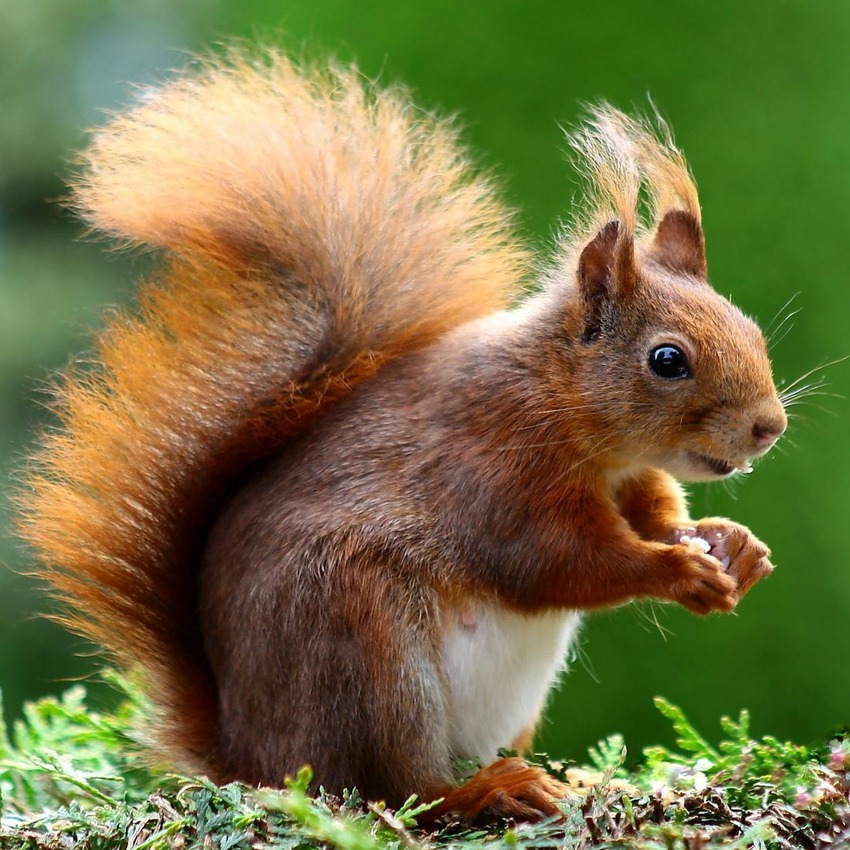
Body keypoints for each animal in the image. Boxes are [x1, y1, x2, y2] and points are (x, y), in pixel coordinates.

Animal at [17, 49, 787, 821]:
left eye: (750, 330)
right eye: (668, 360)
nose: (769, 427)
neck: (569, 411)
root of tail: (247, 755)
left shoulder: (630, 476)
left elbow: (655, 515)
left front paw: (732, 545)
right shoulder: (495, 469)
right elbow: (557, 563)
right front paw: (677, 570)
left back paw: (575, 781)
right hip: (365, 649)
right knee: (394, 788)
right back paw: (488, 790)